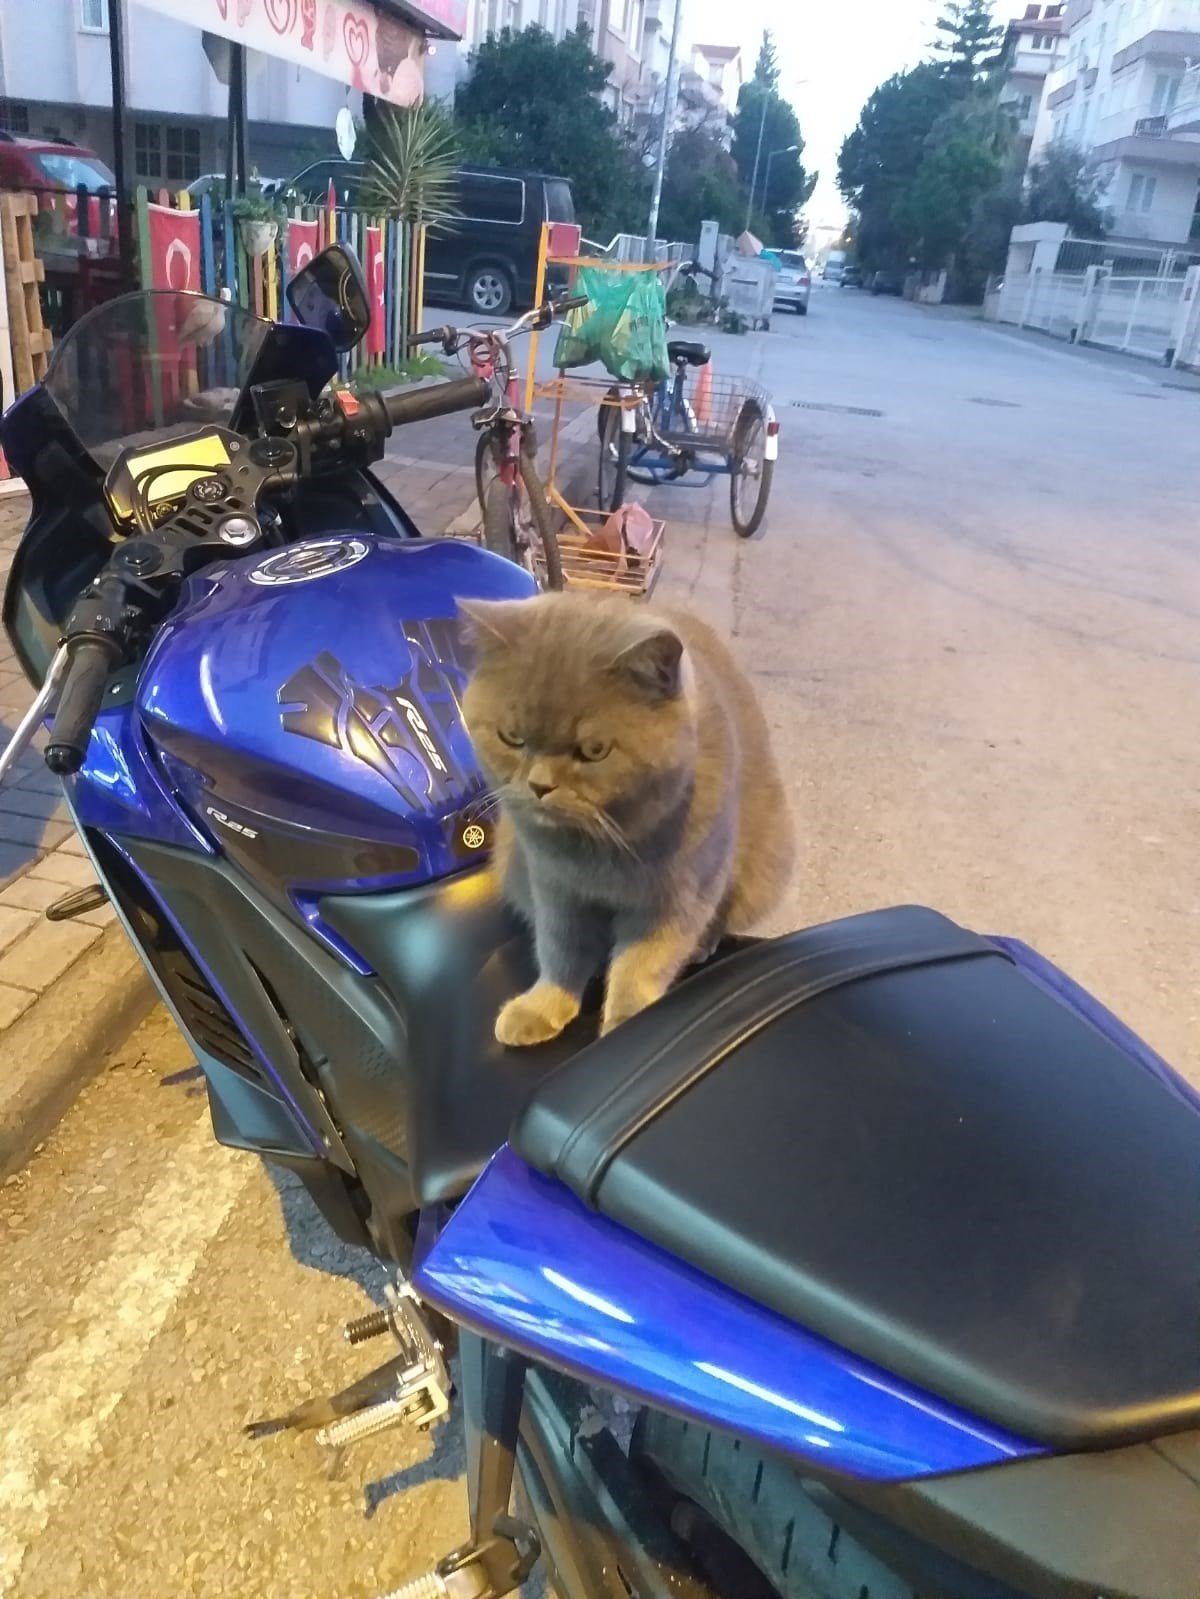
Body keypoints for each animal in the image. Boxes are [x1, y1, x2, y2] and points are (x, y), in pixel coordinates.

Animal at [460, 594, 800, 1042]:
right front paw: (543, 1006)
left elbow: (641, 966)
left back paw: (702, 944)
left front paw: (626, 1026)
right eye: (511, 738)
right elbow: (559, 948)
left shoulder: (675, 901)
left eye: (594, 750)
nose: (538, 785)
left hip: (764, 864)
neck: (600, 851)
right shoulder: (555, 889)